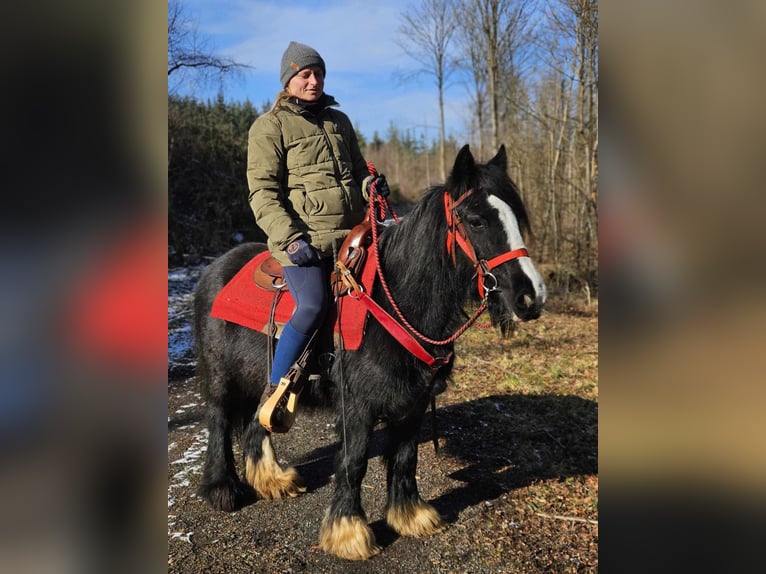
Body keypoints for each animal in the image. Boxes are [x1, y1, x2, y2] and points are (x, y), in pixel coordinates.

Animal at [195, 145, 548, 564]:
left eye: (516, 217)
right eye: (476, 220)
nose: (532, 297)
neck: (394, 301)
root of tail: (214, 270)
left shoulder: (414, 403)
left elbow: (405, 457)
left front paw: (410, 516)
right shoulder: (358, 408)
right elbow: (354, 463)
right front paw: (349, 533)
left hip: (259, 381)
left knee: (256, 423)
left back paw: (273, 479)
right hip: (221, 379)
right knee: (219, 422)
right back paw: (222, 489)